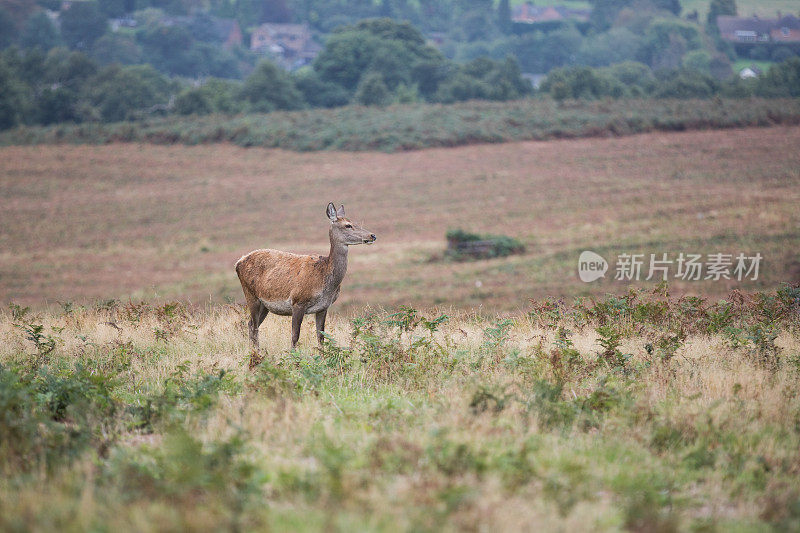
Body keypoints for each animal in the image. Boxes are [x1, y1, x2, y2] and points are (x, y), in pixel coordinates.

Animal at [236, 203, 376, 350]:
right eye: (348, 225)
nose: (372, 235)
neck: (325, 280)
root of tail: (238, 262)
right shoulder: (298, 301)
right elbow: (295, 336)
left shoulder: (323, 307)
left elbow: (321, 337)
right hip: (250, 295)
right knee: (254, 325)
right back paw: (256, 352)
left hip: (265, 304)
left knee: (251, 324)